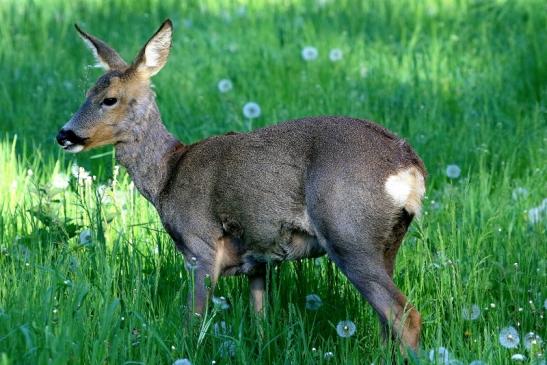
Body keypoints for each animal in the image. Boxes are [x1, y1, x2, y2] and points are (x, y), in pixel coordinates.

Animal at [57, 19, 430, 352]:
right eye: (86, 92)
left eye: (109, 99)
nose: (64, 135)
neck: (167, 176)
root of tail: (409, 166)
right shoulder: (257, 260)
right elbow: (260, 320)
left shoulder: (201, 246)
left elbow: (193, 321)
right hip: (388, 241)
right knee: (386, 321)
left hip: (348, 232)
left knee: (405, 316)